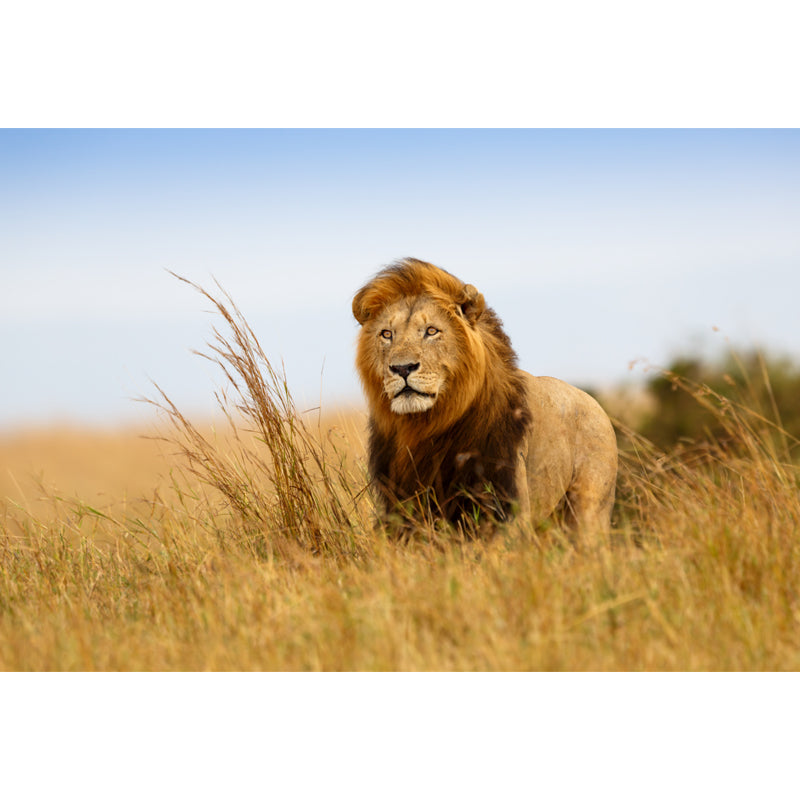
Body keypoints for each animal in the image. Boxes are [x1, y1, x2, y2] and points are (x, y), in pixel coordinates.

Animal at [352, 257, 618, 533]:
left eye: (431, 331)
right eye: (386, 334)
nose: (402, 368)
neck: (426, 426)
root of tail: (595, 404)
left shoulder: (506, 503)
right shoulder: (400, 506)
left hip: (589, 510)